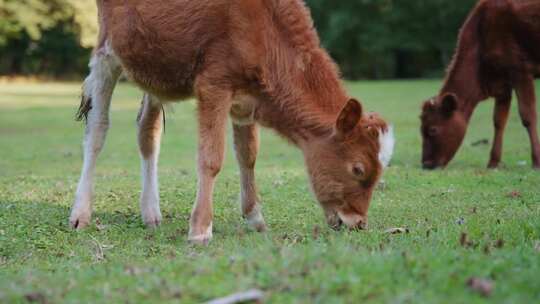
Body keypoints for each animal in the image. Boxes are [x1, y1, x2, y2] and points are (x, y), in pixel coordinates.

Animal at [69, 0, 394, 245]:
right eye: (358, 169)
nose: (358, 223)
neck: (266, 33)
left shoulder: (246, 101)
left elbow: (248, 156)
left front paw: (255, 217)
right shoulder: (214, 85)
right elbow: (211, 158)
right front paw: (200, 229)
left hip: (153, 67)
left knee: (147, 130)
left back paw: (150, 213)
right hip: (107, 51)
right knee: (97, 130)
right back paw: (81, 212)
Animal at [422, 0, 540, 170]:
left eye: (433, 130)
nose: (426, 164)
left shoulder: (521, 71)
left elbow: (528, 116)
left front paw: (536, 161)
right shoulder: (502, 83)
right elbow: (498, 121)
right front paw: (493, 163)